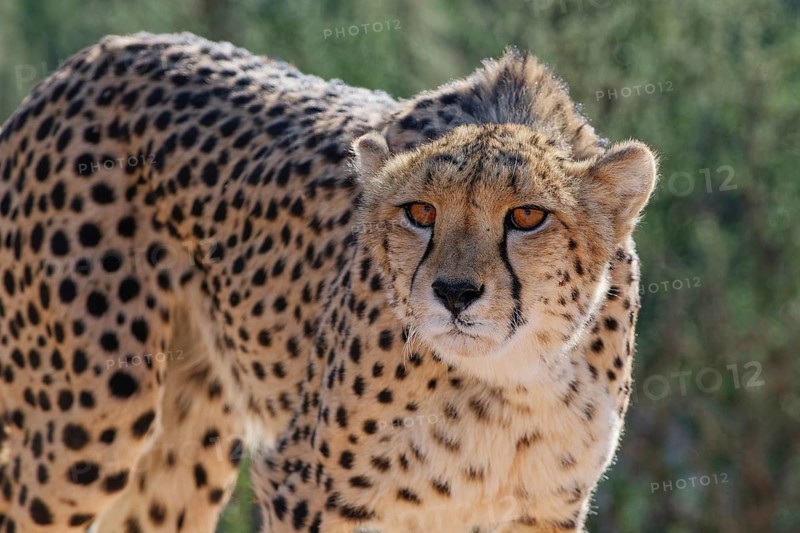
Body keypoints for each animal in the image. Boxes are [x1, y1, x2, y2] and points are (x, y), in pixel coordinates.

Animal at [0, 32, 656, 533]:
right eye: (420, 212)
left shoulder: (540, 511)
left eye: (526, 216)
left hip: (189, 442)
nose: (454, 293)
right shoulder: (305, 487)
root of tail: (96, 54)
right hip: (89, 421)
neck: (508, 384)